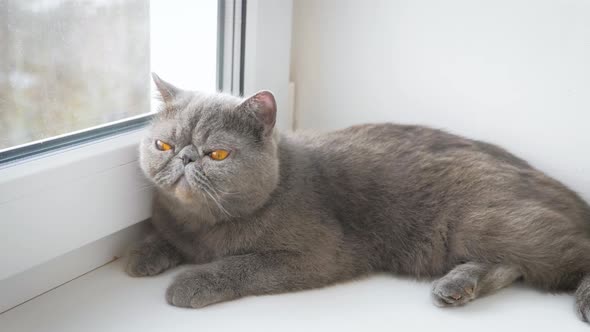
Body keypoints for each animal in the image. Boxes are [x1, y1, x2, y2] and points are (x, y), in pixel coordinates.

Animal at [127, 72, 590, 322]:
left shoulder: (318, 253)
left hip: (489, 222)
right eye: (164, 146)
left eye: (218, 154)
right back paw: (455, 287)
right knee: (509, 266)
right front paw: (143, 254)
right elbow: (166, 236)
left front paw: (193, 281)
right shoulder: (176, 224)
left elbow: (244, 265)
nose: (186, 157)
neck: (204, 226)